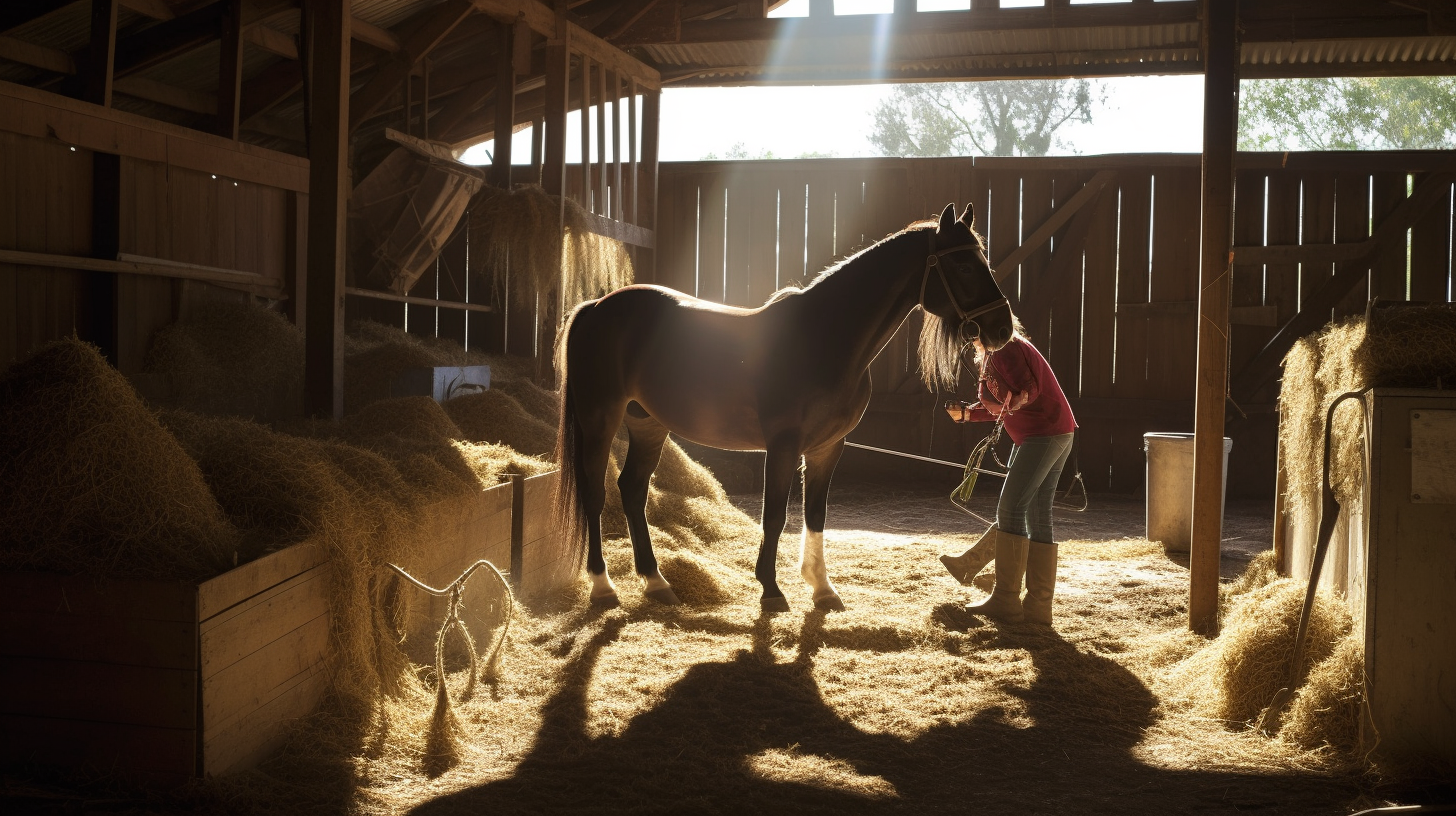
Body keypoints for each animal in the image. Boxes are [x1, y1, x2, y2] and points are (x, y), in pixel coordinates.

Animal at [553, 204, 1013, 612]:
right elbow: (774, 515)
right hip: (600, 420)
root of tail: (595, 308)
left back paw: (656, 583)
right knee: (595, 493)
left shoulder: (828, 447)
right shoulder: (783, 445)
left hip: (647, 423)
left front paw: (823, 590)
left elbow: (816, 515)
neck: (824, 339)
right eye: (965, 266)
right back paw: (603, 588)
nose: (1003, 329)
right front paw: (771, 591)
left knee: (633, 489)